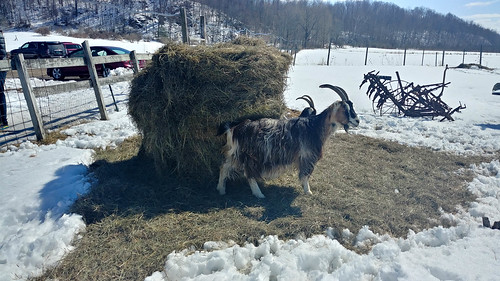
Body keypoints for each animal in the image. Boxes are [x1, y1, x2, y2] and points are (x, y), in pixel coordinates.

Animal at [217, 83, 358, 197]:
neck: (315, 126)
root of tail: (235, 128)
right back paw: (259, 194)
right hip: (252, 155)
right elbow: (305, 174)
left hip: (235, 152)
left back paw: (221, 190)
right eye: (345, 109)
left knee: (224, 166)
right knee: (249, 173)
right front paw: (308, 191)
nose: (357, 121)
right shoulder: (308, 156)